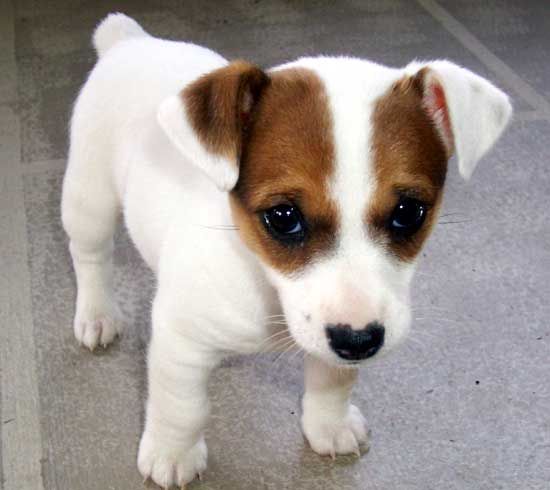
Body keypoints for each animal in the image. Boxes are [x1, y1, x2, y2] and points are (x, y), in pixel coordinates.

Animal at [62, 13, 516, 488]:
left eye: (409, 212)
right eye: (283, 217)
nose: (359, 341)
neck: (261, 277)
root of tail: (130, 41)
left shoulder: (334, 341)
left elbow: (332, 381)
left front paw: (329, 425)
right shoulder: (179, 339)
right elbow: (182, 408)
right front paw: (172, 453)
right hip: (89, 199)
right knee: (90, 256)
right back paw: (97, 315)